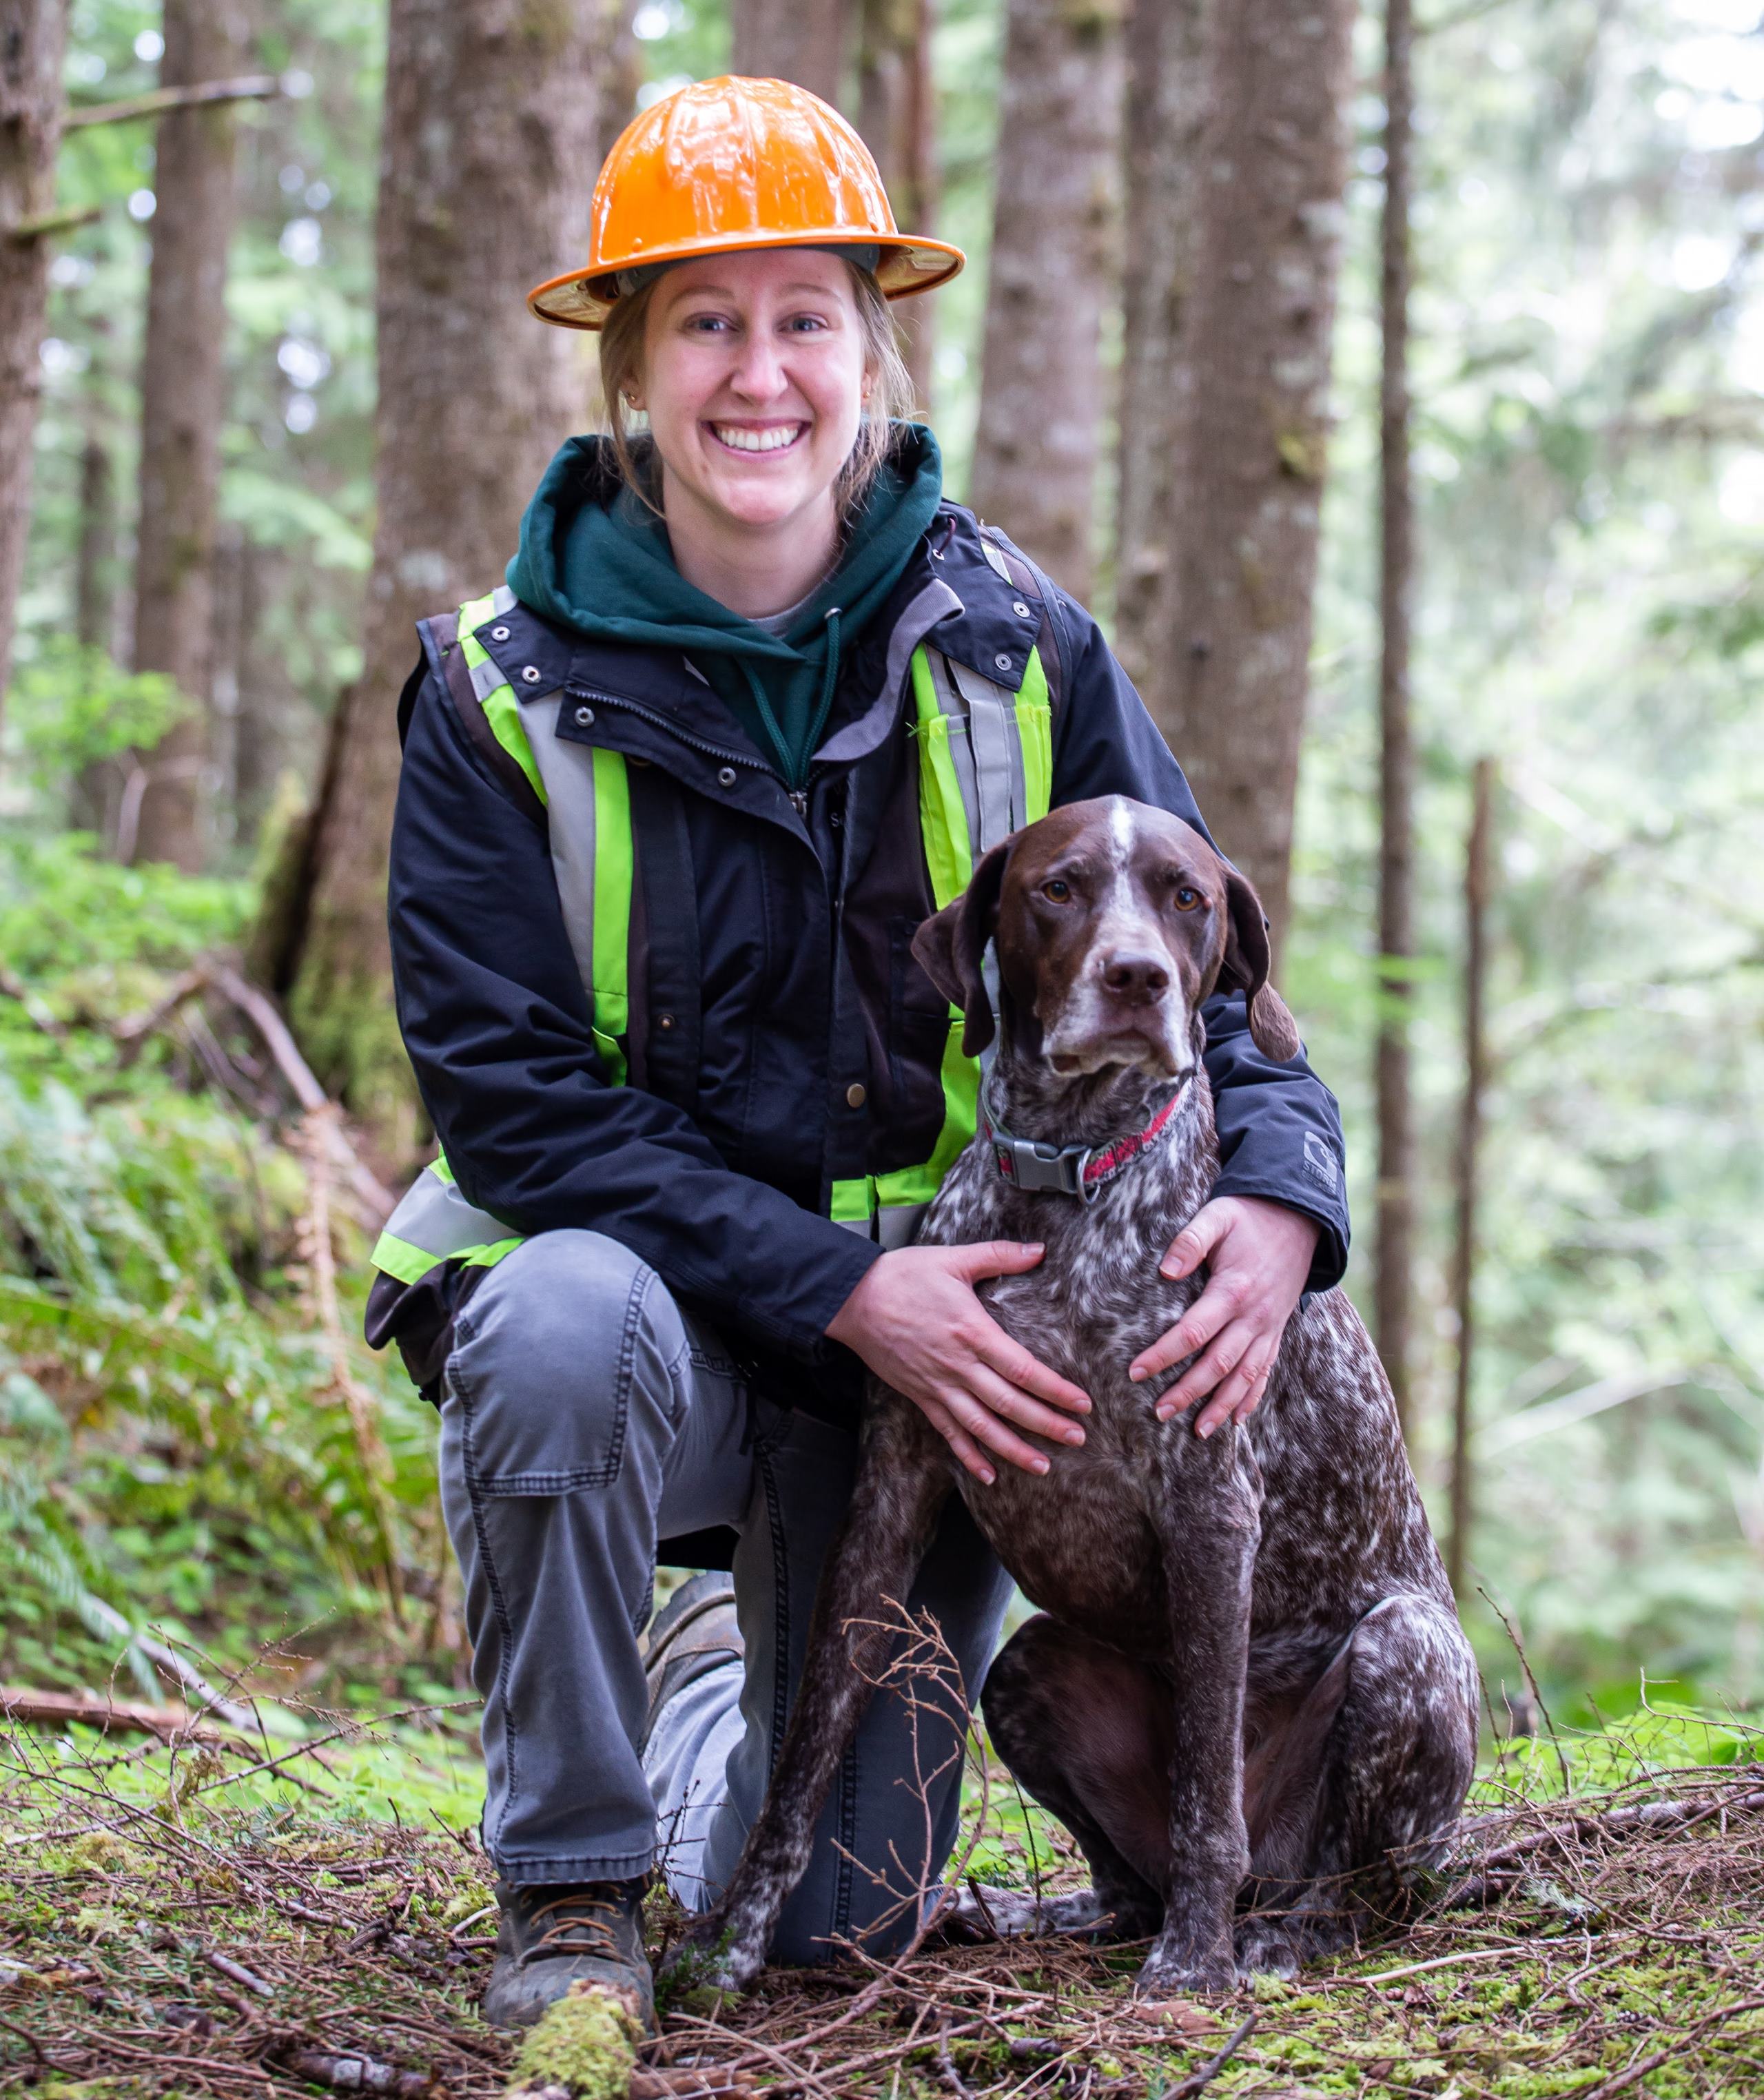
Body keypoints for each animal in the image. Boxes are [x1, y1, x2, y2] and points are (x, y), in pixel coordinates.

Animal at [676, 794, 1478, 1990]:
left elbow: (1205, 1792)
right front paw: (732, 1941)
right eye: (1058, 889)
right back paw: (1046, 1914)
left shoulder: (1210, 1506)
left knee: (1335, 1879)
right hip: (1029, 1669)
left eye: (1187, 896)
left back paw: (1272, 1933)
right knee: (1125, 1883)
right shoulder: (890, 1496)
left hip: (1405, 1657)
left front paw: (1194, 1968)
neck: (1067, 1180)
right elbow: (805, 1755)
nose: (1137, 977)